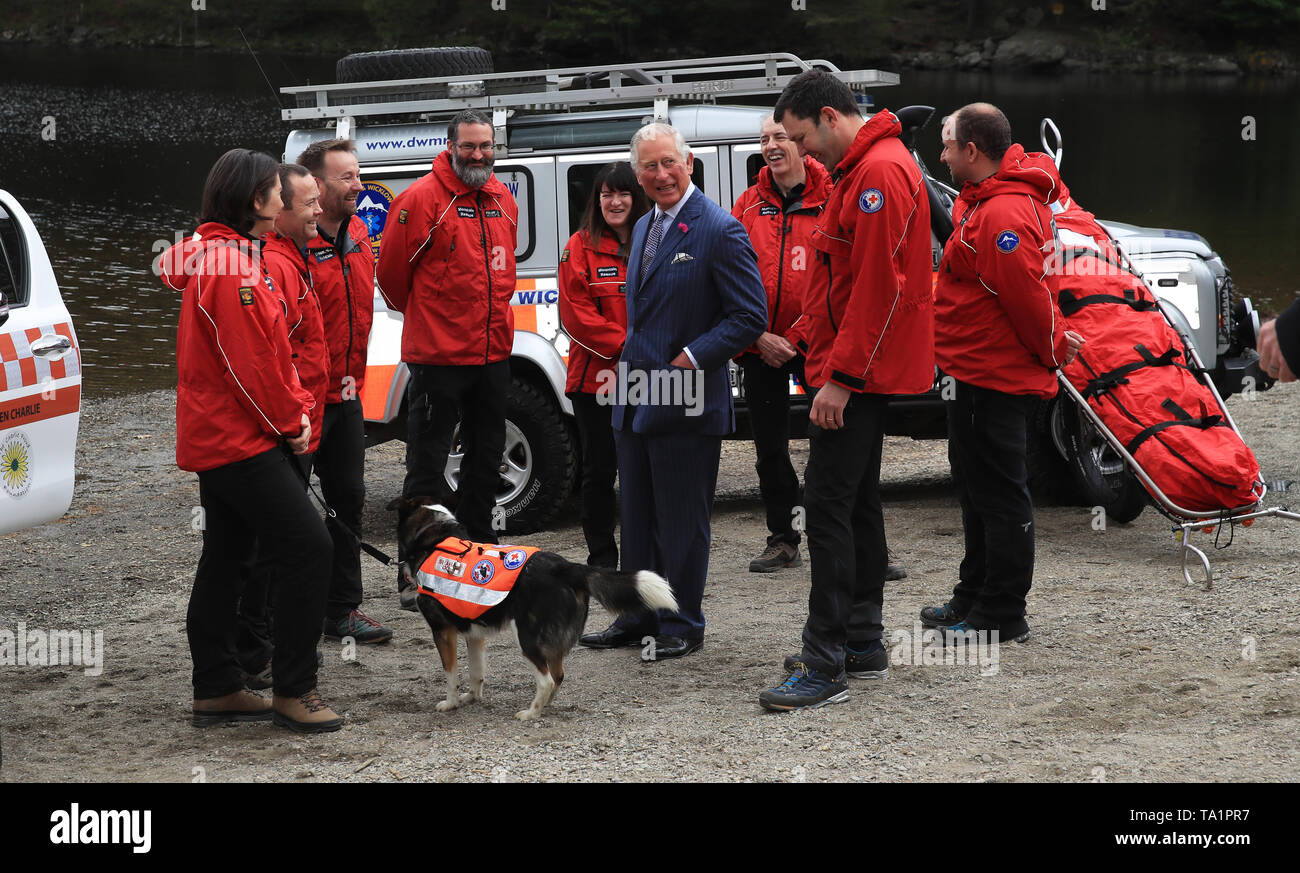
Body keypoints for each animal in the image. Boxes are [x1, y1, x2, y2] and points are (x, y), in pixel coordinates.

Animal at [387, 493, 681, 717]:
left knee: (547, 679)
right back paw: (545, 705)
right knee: (558, 676)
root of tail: (565, 567)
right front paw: (472, 697)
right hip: (553, 642)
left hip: (528, 639)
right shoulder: (475, 634)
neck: (434, 538)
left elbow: (450, 674)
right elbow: (476, 671)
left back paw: (531, 713)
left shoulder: (443, 631)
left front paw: (450, 703)